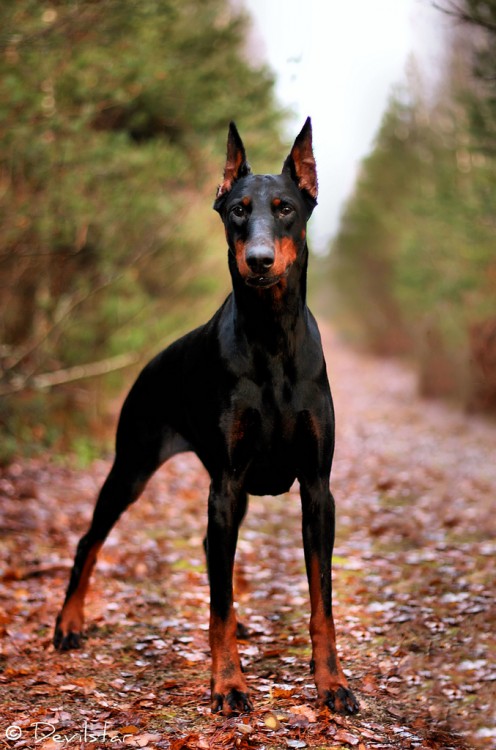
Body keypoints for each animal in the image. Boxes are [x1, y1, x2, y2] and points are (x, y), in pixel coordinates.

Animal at [53, 120, 360, 720]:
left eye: (286, 209)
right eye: (238, 210)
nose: (259, 259)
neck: (271, 340)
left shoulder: (317, 488)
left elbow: (323, 602)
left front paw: (331, 683)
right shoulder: (227, 483)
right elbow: (218, 603)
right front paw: (228, 685)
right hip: (133, 466)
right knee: (89, 541)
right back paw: (69, 623)